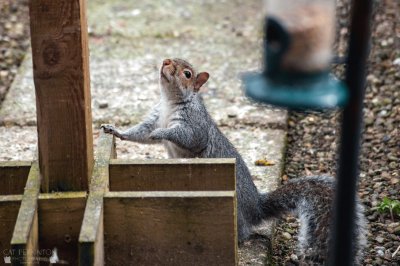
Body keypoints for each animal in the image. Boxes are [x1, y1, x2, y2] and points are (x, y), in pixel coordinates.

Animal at [101, 58, 368, 264]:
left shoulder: (195, 126)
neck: (170, 101)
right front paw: (115, 130)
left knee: (242, 233)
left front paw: (161, 134)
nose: (166, 61)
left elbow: (185, 136)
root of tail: (256, 208)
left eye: (187, 74)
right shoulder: (154, 118)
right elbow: (139, 133)